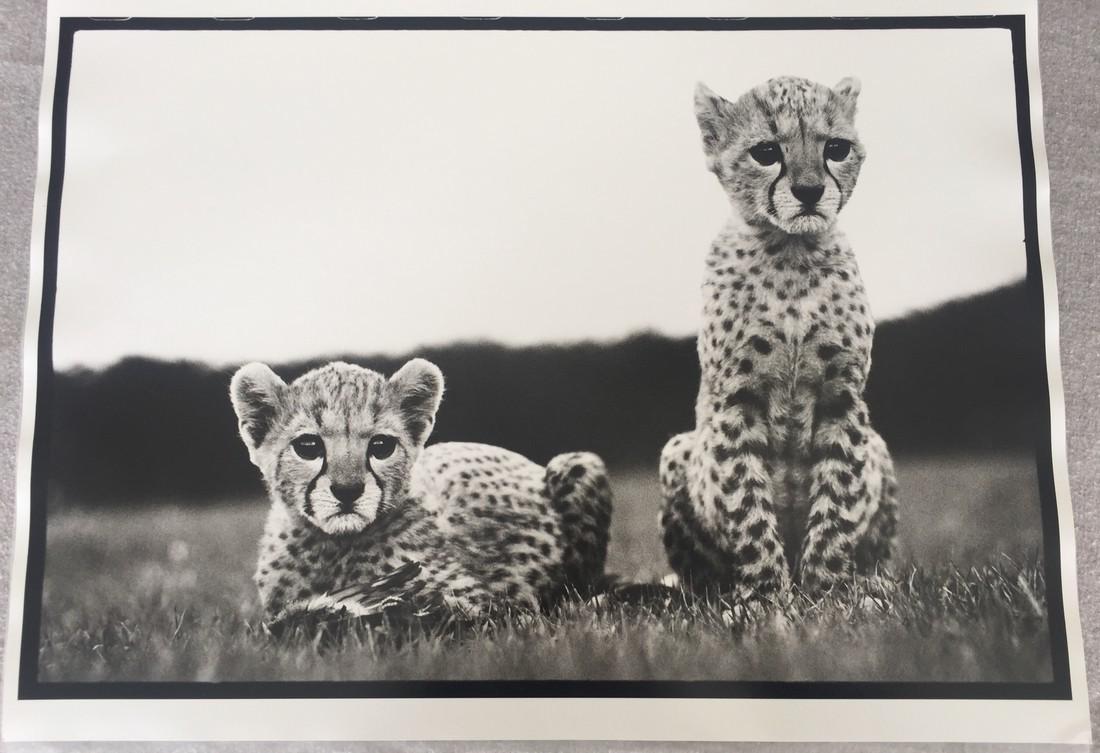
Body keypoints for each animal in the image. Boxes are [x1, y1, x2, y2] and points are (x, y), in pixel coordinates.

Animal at [229, 357, 612, 624]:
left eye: (381, 446)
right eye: (308, 447)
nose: (348, 490)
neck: (334, 546)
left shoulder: (486, 602)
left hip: (579, 463)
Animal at [659, 75, 898, 599]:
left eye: (836, 148)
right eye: (766, 151)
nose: (809, 191)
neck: (789, 250)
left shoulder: (843, 398)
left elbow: (837, 499)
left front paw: (827, 593)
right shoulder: (735, 402)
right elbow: (747, 504)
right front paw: (766, 596)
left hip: (878, 446)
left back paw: (874, 584)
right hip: (677, 450)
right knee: (695, 572)